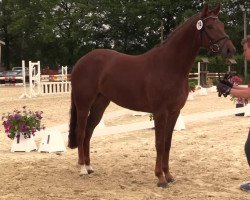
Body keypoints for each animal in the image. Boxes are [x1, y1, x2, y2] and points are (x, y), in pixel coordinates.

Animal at [67, 3, 235, 188]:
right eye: (210, 26)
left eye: (222, 26)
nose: (231, 50)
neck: (169, 65)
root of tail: (81, 62)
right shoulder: (160, 112)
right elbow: (159, 143)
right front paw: (160, 178)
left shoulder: (174, 112)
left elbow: (168, 143)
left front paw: (168, 175)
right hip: (83, 104)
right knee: (81, 132)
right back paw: (82, 168)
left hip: (100, 104)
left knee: (89, 132)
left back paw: (89, 167)